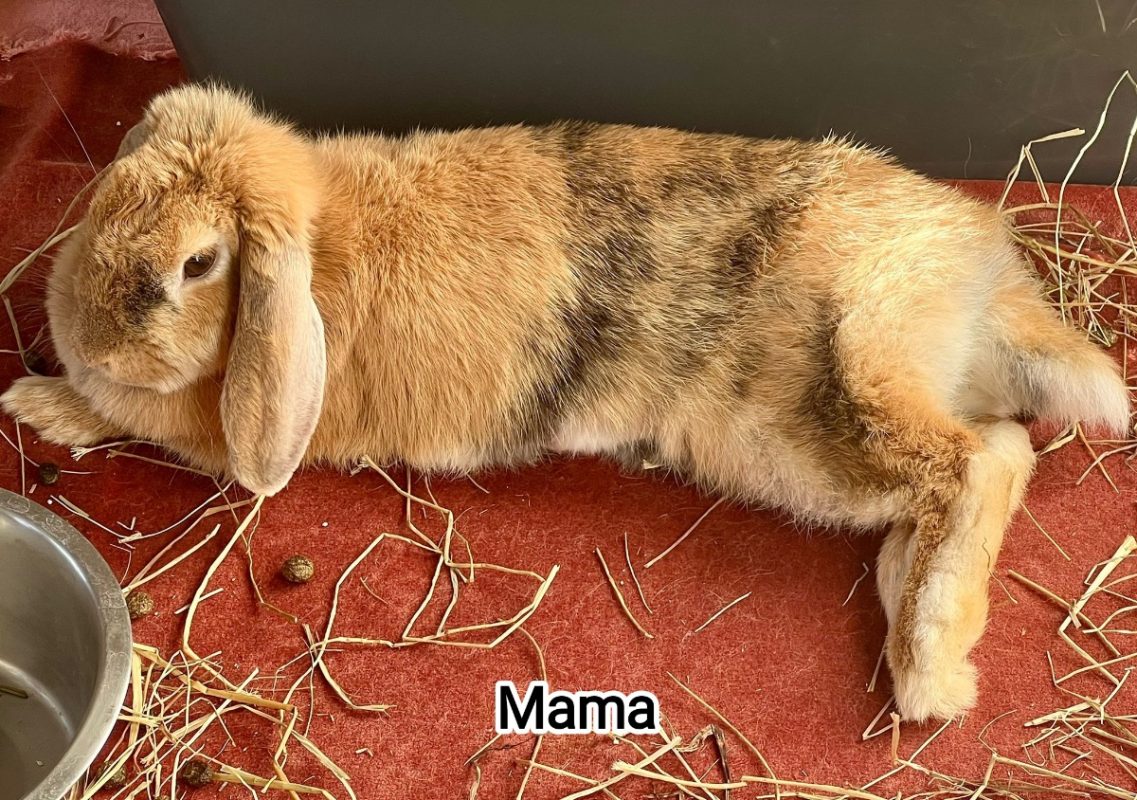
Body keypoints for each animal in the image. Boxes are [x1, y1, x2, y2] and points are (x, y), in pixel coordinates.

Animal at [2, 84, 1129, 722]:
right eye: (107, 191)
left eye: (199, 262)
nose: (84, 331)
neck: (318, 251)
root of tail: (986, 277)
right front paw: (46, 389)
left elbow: (144, 421)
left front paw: (43, 401)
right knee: (983, 458)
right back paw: (905, 611)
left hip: (836, 405)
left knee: (986, 460)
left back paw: (930, 673)